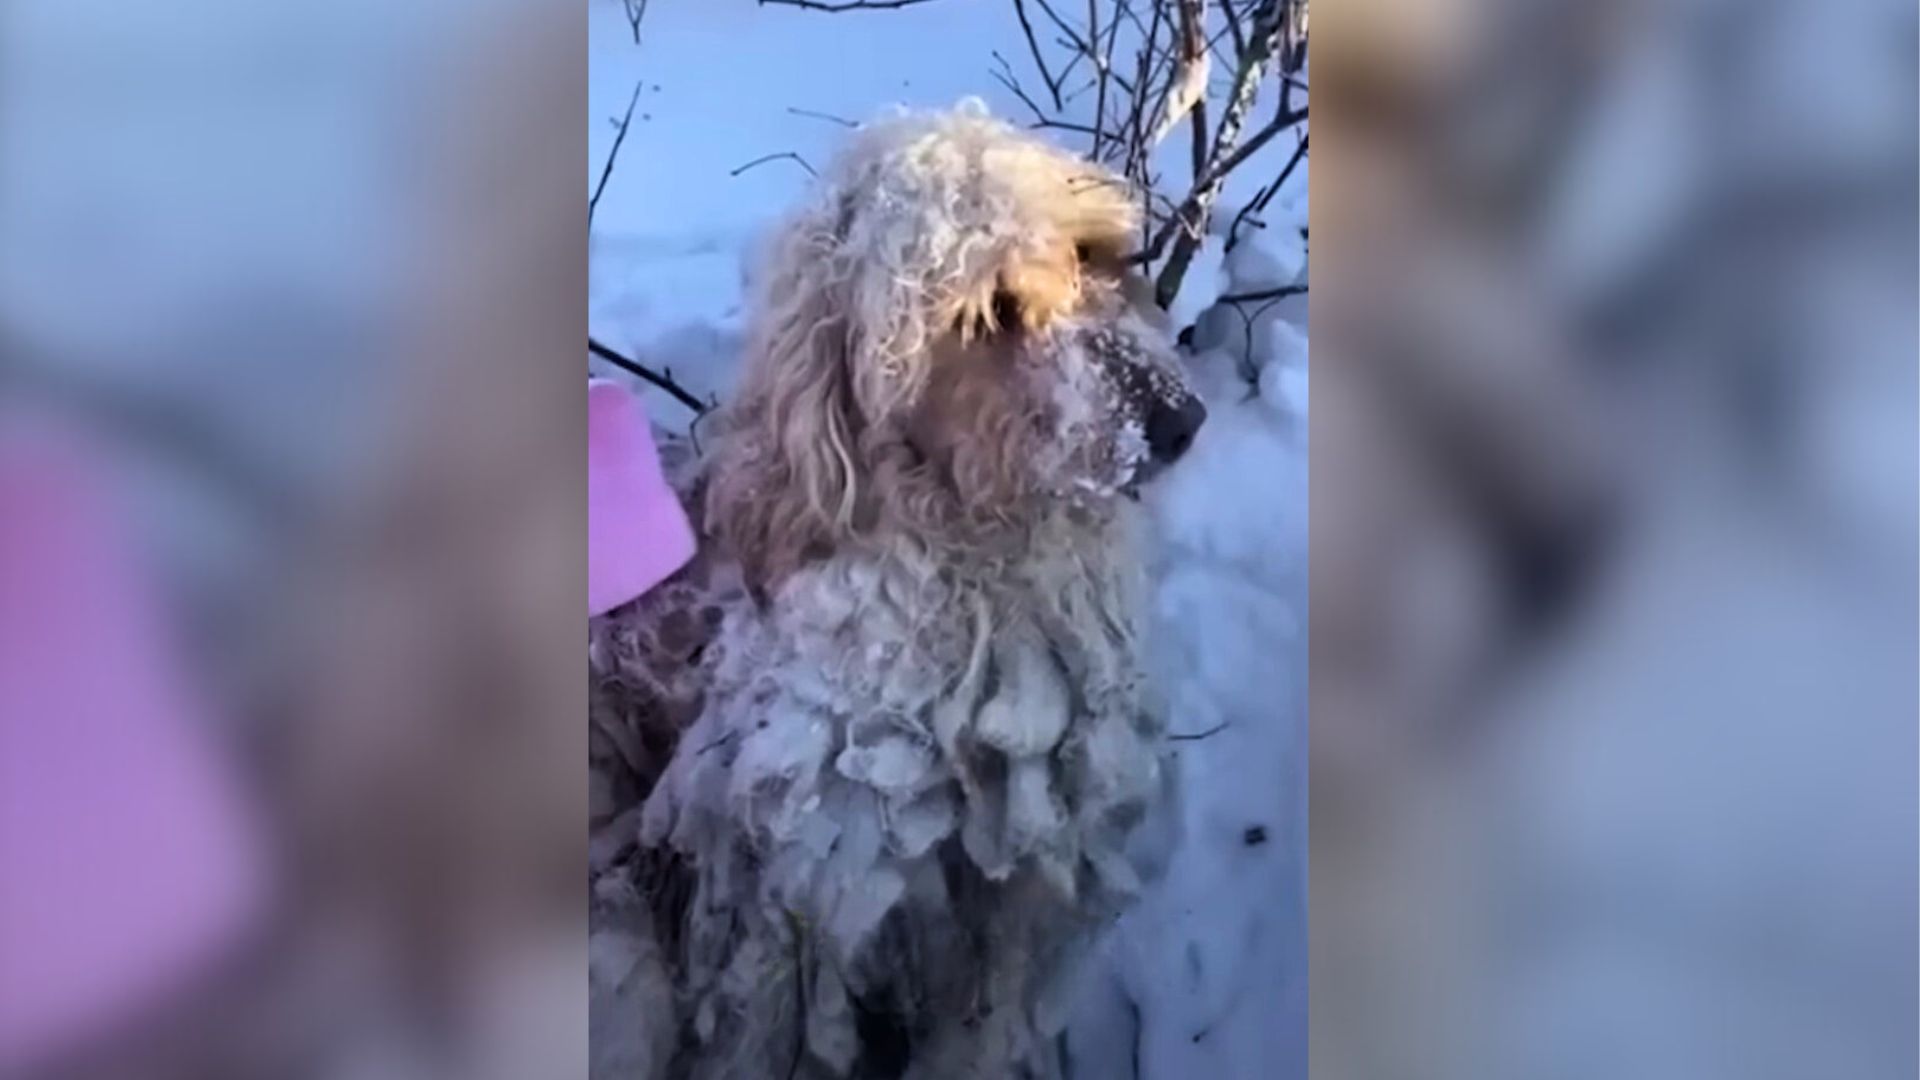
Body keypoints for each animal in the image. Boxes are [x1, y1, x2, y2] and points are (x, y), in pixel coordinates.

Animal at [591, 102, 1205, 1076]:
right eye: (987, 311)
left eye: (1090, 251)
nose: (1181, 422)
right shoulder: (795, 907)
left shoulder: (1017, 893)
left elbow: (987, 1023)